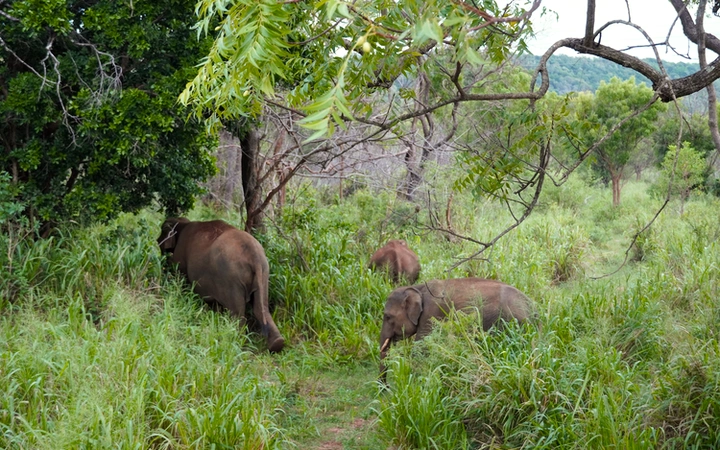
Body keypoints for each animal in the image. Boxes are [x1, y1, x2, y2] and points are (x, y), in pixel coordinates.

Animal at [157, 218, 285, 353]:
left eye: (161, 230)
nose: (157, 240)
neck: (183, 223)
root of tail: (254, 256)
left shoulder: (180, 257)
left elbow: (182, 280)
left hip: (232, 279)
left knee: (237, 313)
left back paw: (237, 342)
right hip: (264, 273)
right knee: (261, 308)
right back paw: (277, 343)